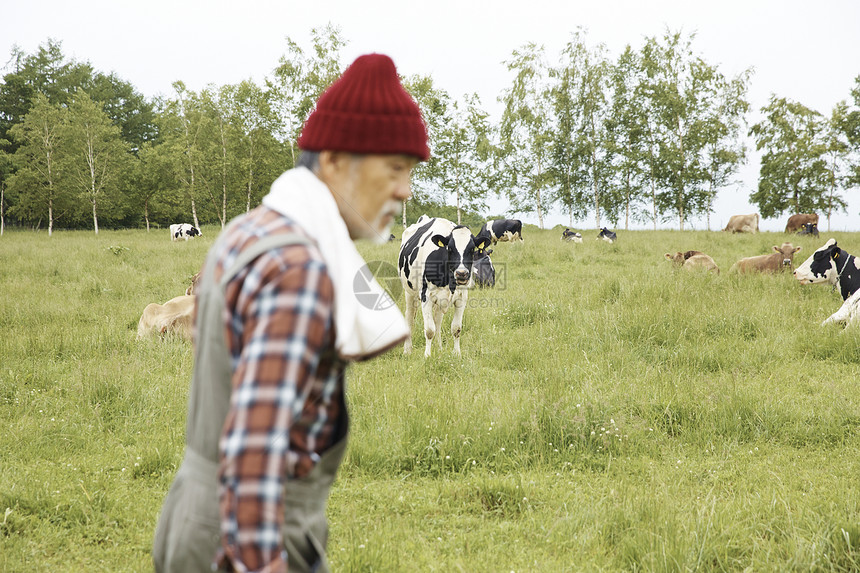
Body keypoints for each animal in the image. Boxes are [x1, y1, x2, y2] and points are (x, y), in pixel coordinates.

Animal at [398, 217, 490, 356]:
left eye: (472, 249)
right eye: (450, 248)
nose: (461, 273)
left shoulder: (461, 297)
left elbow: (456, 328)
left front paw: (457, 354)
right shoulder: (425, 296)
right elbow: (429, 330)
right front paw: (427, 355)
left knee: (438, 320)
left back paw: (439, 347)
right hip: (409, 292)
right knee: (410, 318)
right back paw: (407, 350)